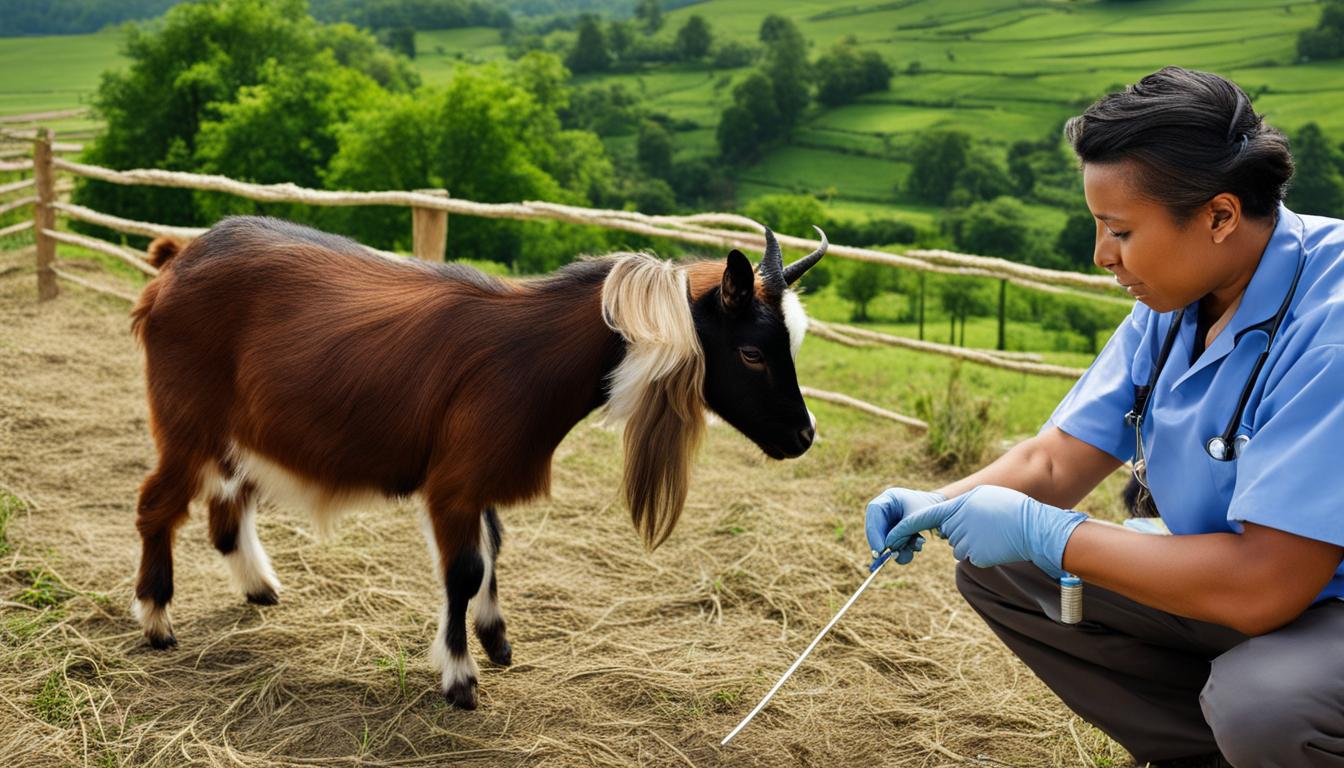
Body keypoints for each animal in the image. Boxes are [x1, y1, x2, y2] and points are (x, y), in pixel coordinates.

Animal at [129, 215, 825, 708]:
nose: (803, 436)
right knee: (157, 505)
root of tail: (176, 262)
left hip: (240, 433)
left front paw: (498, 641)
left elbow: (494, 547)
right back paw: (158, 623)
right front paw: (459, 679)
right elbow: (463, 570)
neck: (533, 350)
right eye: (753, 353)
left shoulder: (481, 469)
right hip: (186, 421)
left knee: (227, 505)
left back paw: (258, 587)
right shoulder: (455, 486)